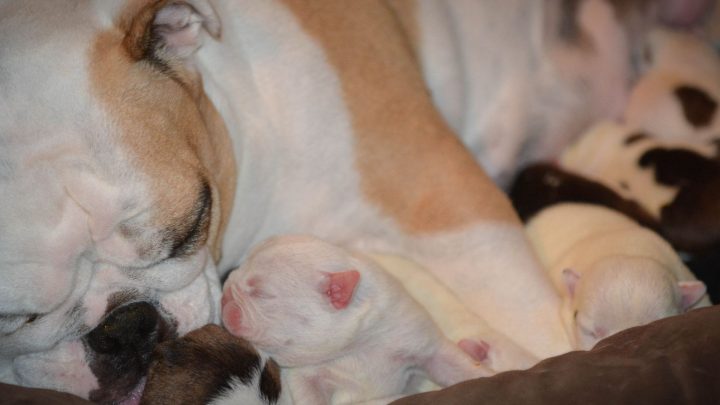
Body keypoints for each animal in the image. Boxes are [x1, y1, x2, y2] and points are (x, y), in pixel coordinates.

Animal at [219, 235, 490, 402]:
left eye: (261, 293)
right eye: (237, 270)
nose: (225, 294)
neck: (356, 347)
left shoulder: (416, 337)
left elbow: (454, 364)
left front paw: (486, 376)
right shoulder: (303, 375)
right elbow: (308, 392)